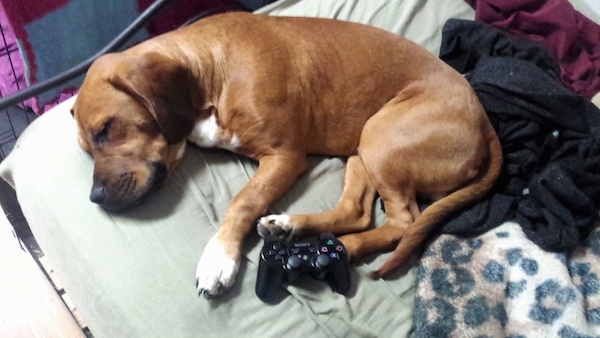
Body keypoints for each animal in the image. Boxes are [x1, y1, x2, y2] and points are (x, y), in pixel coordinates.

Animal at [69, 12, 502, 298]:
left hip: (380, 139)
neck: (211, 69)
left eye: (107, 129)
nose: (96, 198)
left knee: (404, 222)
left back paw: (341, 248)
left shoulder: (284, 156)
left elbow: (243, 201)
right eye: (88, 147)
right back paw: (297, 230)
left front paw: (219, 256)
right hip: (361, 150)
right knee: (358, 211)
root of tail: (487, 127)